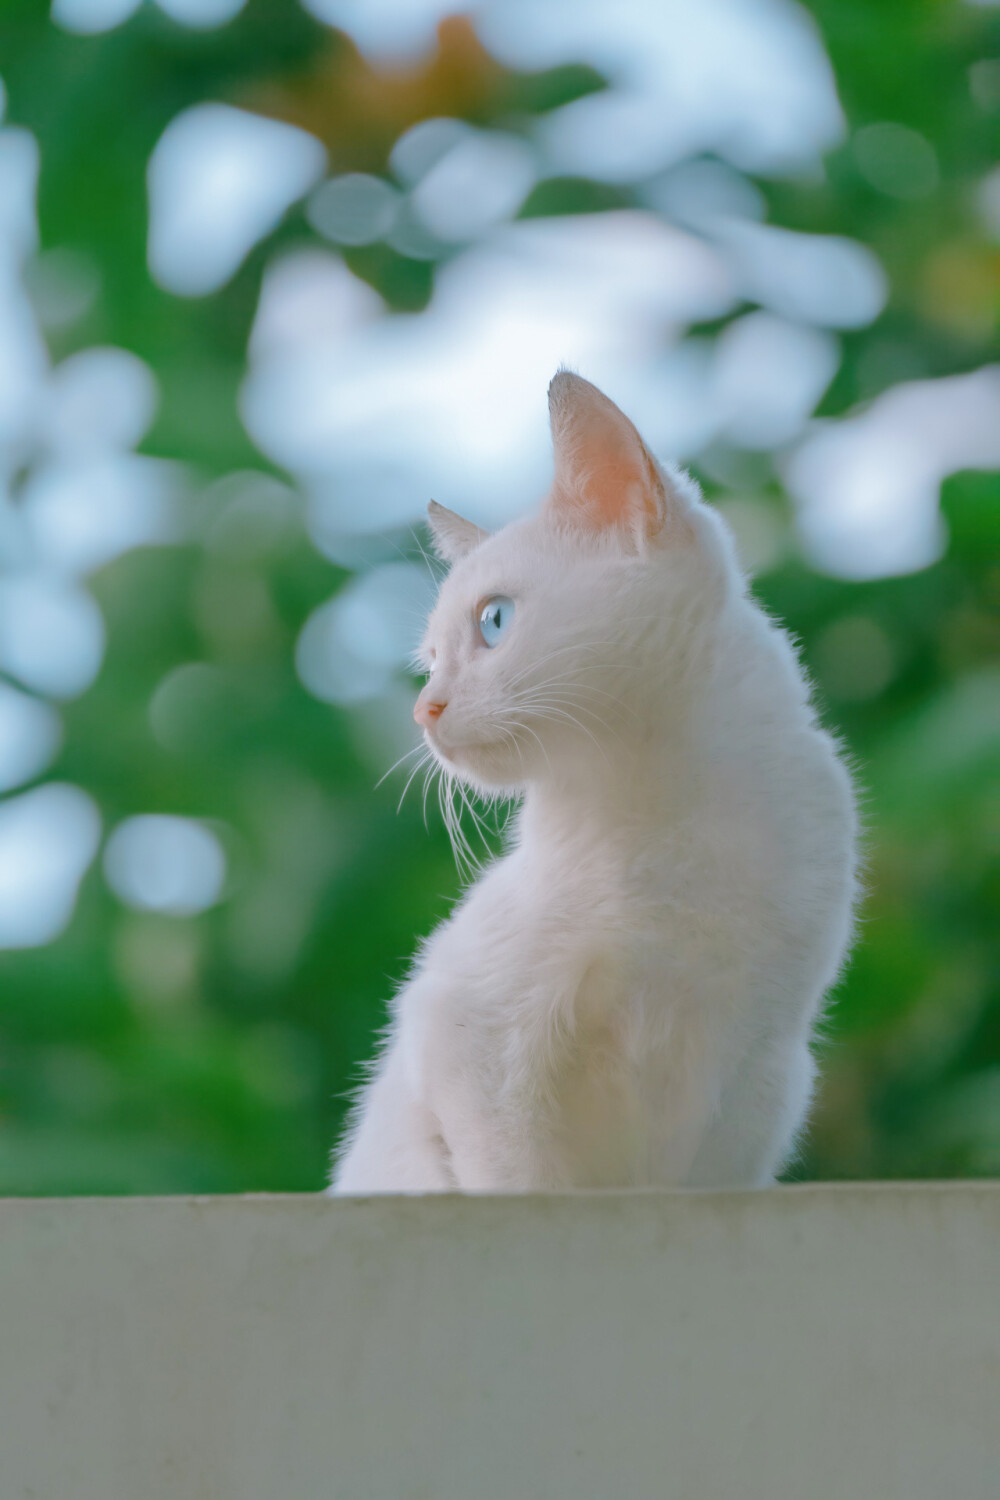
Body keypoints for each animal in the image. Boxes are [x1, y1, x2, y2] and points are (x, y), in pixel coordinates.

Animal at [329, 369, 863, 1188]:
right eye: (430, 659)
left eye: (493, 621)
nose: (424, 710)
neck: (663, 815)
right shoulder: (473, 1039)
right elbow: (521, 1183)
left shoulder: (759, 1077)